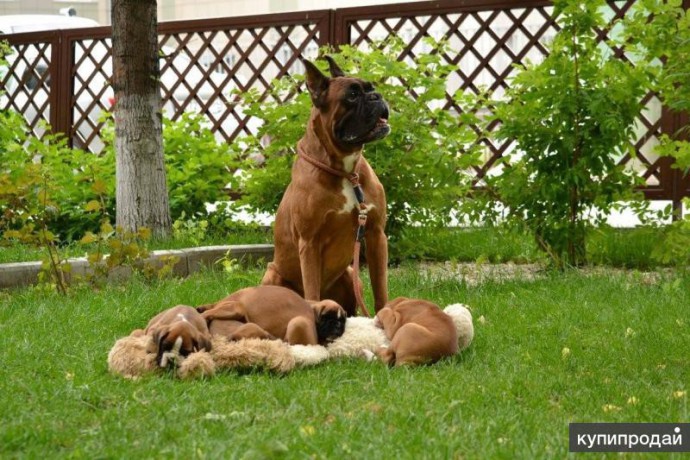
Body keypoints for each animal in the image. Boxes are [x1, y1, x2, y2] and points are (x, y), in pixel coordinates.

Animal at [260, 55, 388, 316]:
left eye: (370, 87)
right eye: (352, 95)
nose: (377, 96)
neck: (346, 171)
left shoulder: (376, 235)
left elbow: (381, 288)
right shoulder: (309, 243)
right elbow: (311, 290)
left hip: (351, 275)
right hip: (272, 276)